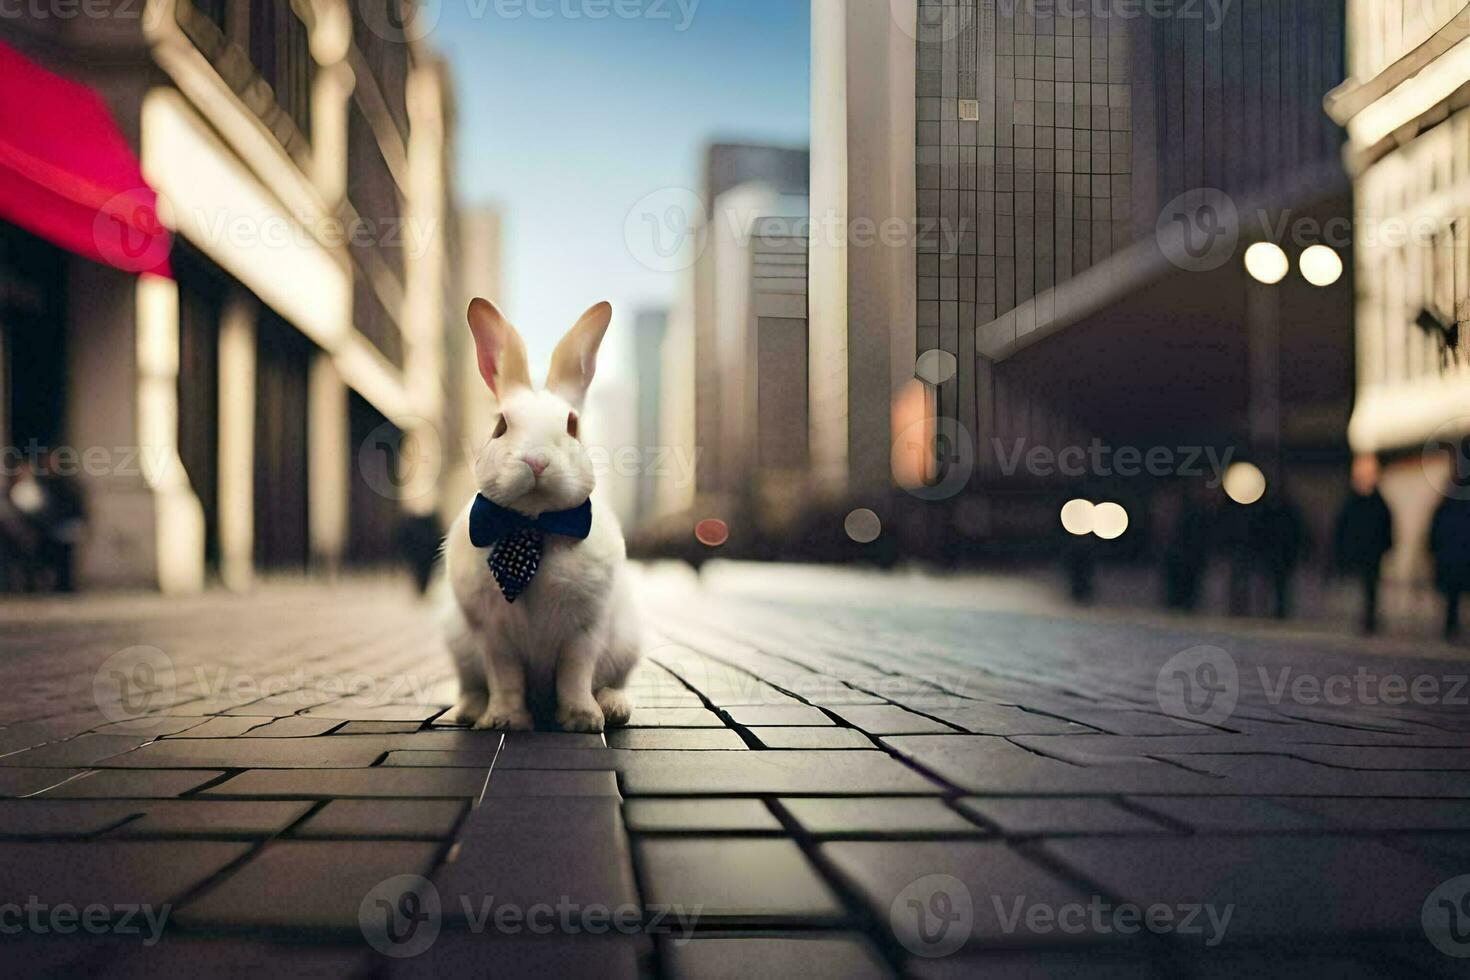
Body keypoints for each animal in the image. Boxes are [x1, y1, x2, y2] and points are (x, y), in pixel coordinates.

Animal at [438, 299, 640, 734]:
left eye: (573, 425)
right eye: (500, 426)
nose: (536, 461)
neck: (531, 526)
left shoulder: (585, 632)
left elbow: (575, 676)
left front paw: (583, 720)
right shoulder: (492, 637)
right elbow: (505, 679)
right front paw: (504, 721)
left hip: (626, 645)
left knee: (611, 682)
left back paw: (614, 708)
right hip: (460, 647)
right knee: (472, 687)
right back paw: (469, 713)